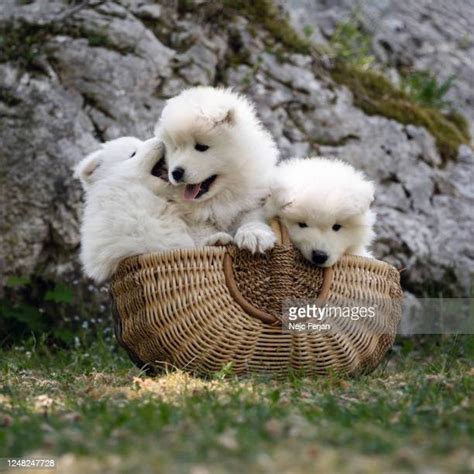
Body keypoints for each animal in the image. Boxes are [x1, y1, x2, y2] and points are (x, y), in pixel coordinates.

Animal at [154, 87, 280, 254]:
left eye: (201, 147)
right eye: (175, 148)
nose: (176, 173)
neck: (219, 198)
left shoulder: (253, 200)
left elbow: (251, 217)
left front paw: (254, 235)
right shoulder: (190, 217)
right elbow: (200, 229)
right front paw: (215, 239)